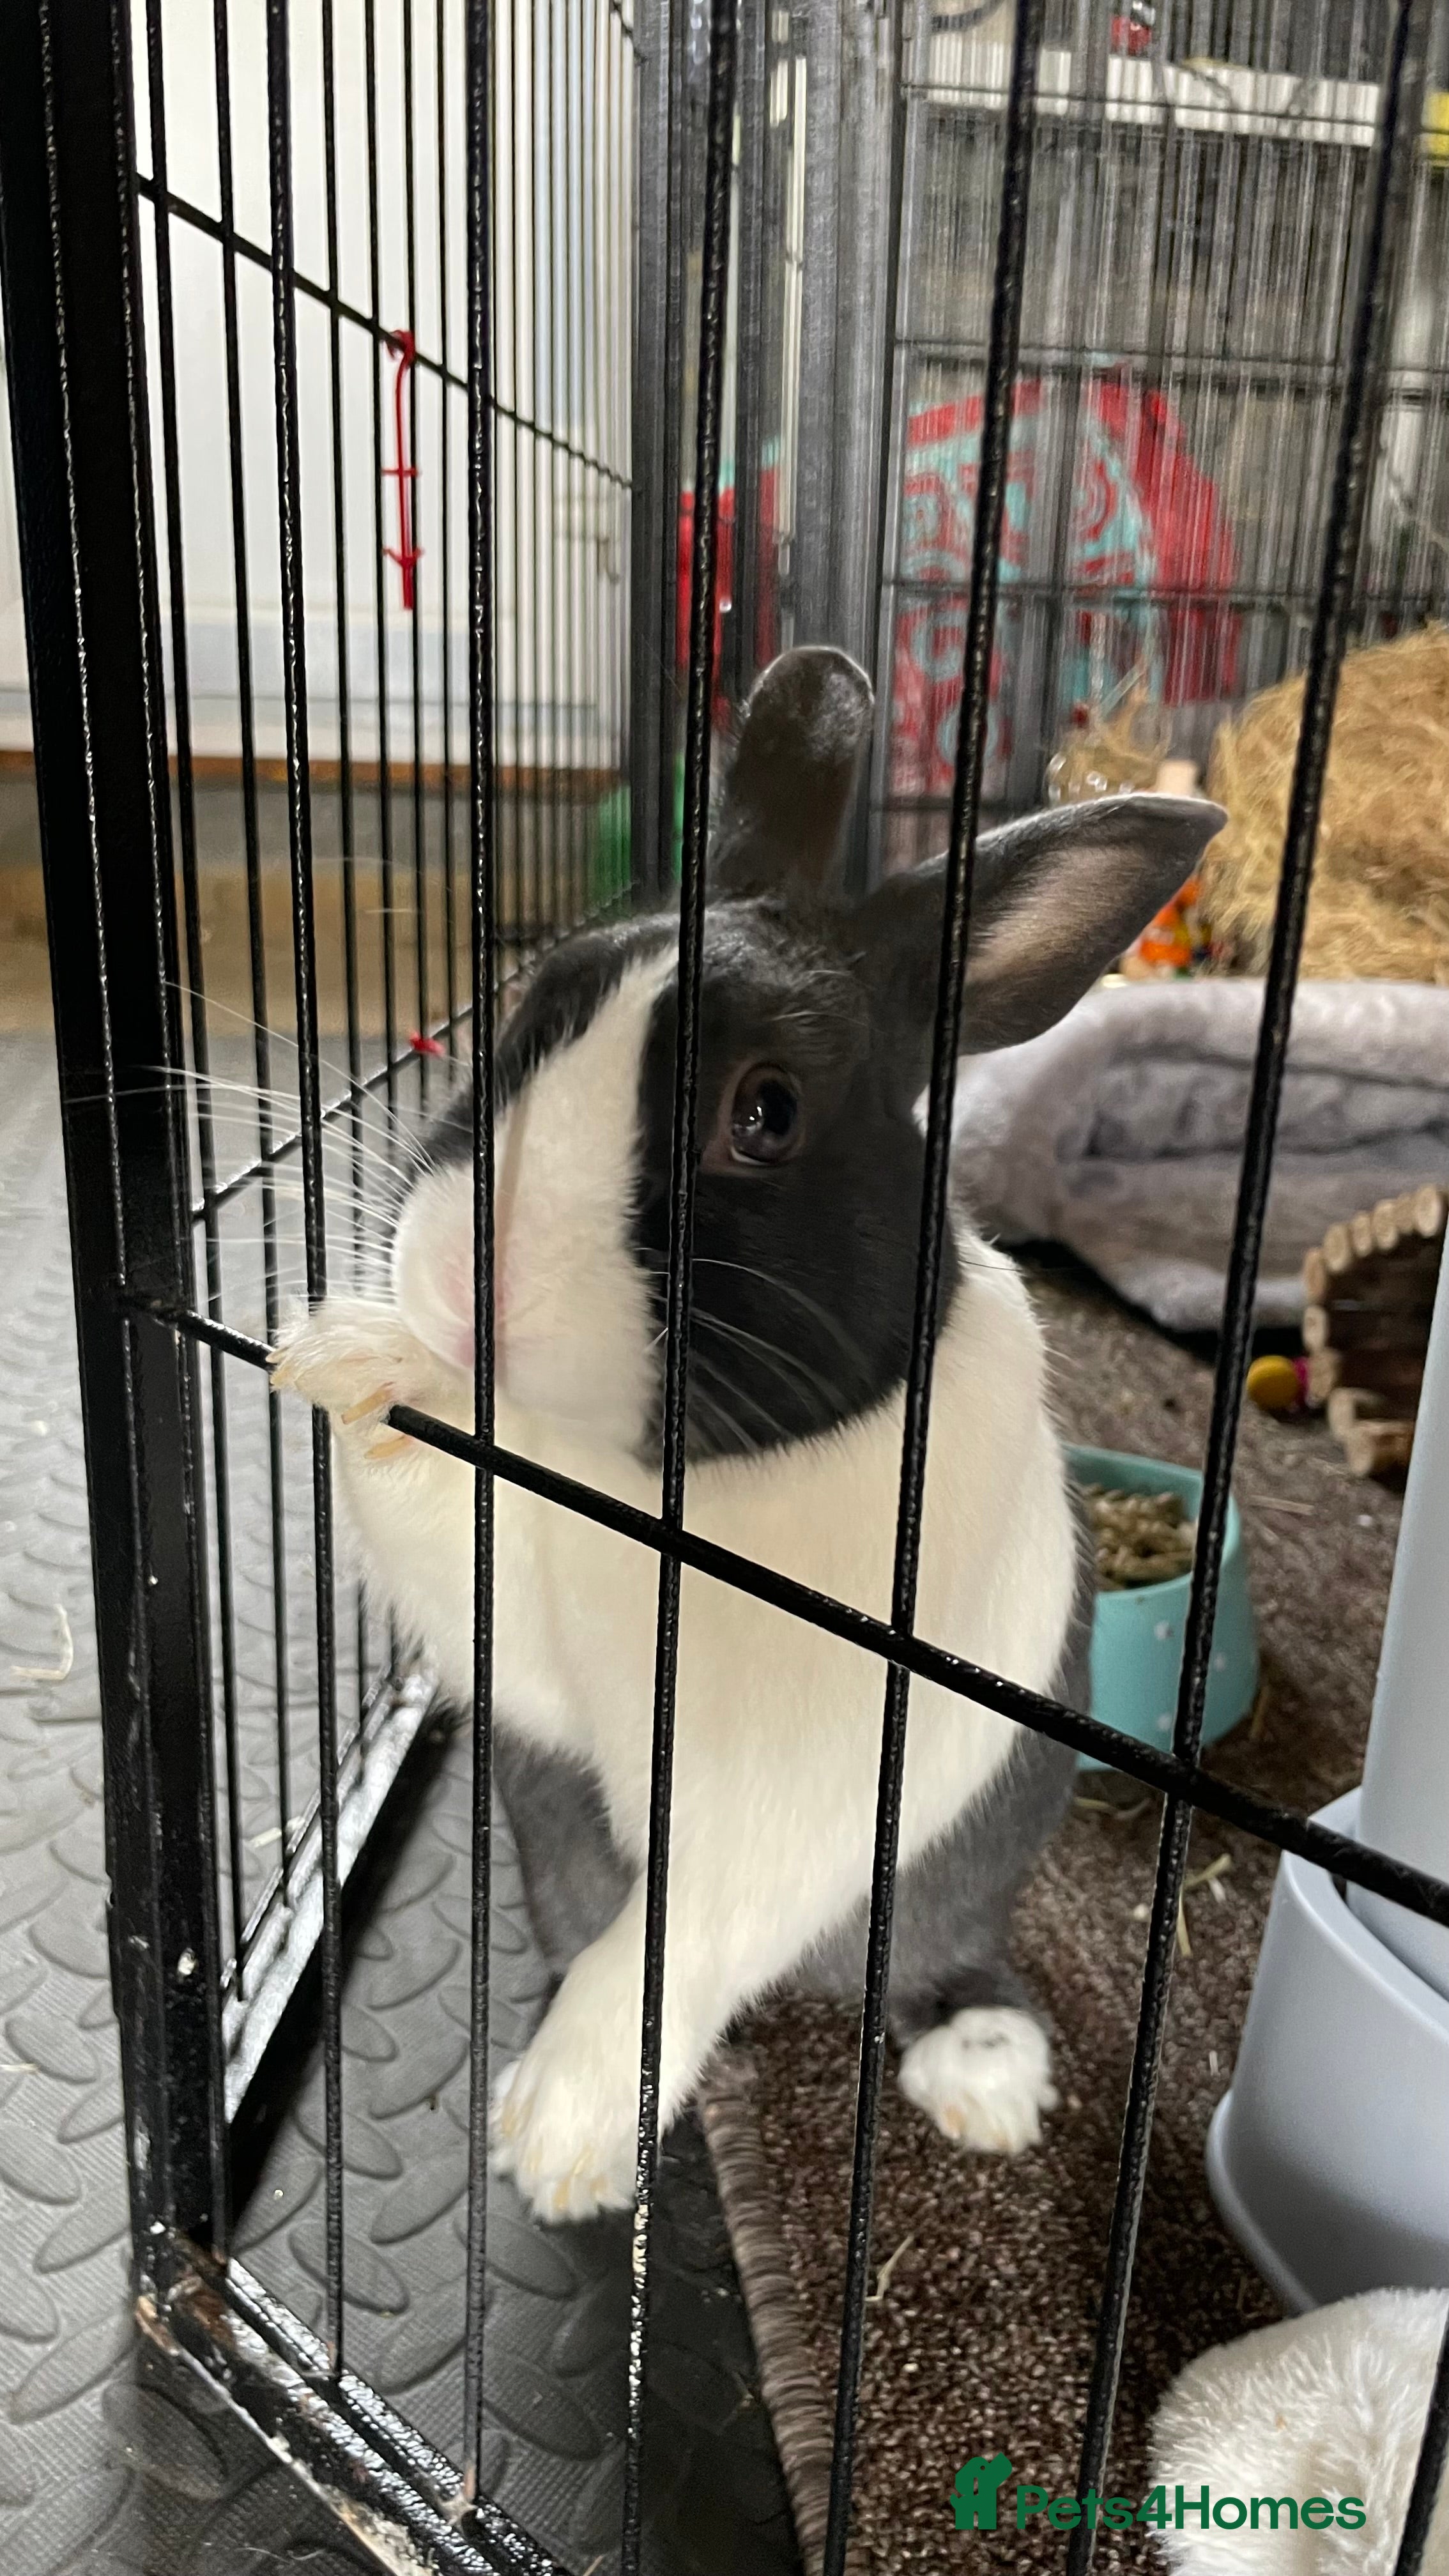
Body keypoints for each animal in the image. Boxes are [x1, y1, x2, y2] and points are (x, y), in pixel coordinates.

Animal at [272, 645, 1224, 2224]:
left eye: (765, 1114)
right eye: (528, 1008)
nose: (467, 1283)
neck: (648, 1488)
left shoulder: (796, 1795)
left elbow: (683, 1937)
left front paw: (562, 2141)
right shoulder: (509, 1629)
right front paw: (344, 1355)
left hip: (954, 1890)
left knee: (941, 1968)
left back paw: (986, 2087)